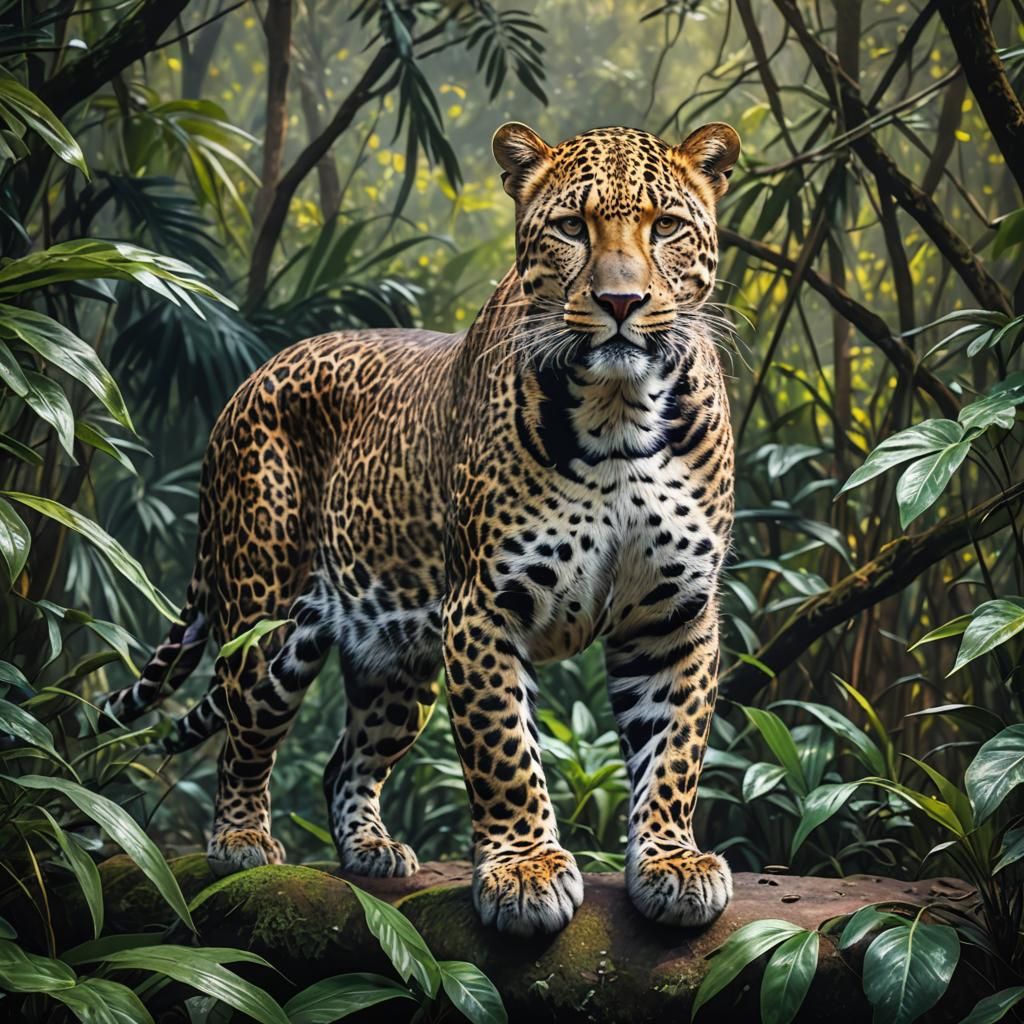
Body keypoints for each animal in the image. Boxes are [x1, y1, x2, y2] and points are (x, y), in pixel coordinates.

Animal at [103, 120, 741, 937]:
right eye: (572, 228)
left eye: (666, 228)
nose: (621, 300)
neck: (619, 413)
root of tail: (248, 378)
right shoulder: (485, 607)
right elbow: (505, 751)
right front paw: (525, 870)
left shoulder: (674, 613)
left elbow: (674, 749)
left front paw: (671, 862)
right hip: (267, 623)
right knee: (244, 736)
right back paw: (241, 840)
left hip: (396, 661)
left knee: (346, 760)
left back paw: (370, 849)